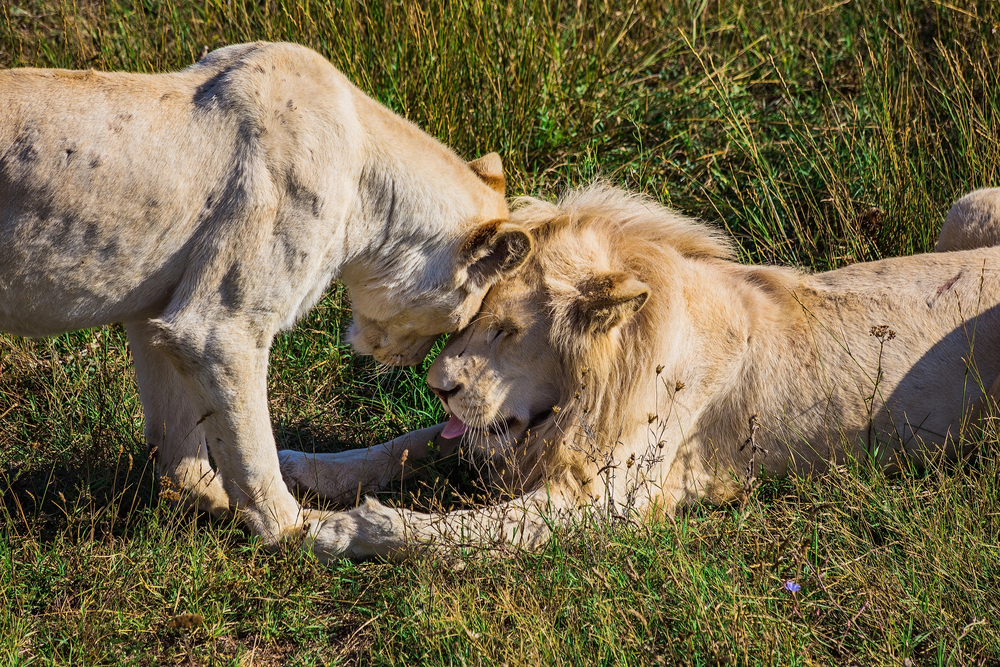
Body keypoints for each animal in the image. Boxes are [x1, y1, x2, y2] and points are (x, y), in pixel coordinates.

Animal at [0, 39, 532, 556]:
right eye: (461, 322)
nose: (411, 367)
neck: (367, 190)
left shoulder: (153, 308)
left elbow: (178, 438)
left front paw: (210, 499)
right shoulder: (218, 328)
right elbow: (251, 442)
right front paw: (298, 530)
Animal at [278, 181, 1000, 560]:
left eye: (508, 331)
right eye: (465, 321)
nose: (439, 386)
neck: (591, 384)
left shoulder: (611, 498)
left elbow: (468, 528)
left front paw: (346, 528)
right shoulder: (520, 437)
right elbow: (400, 445)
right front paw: (302, 468)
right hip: (971, 203)